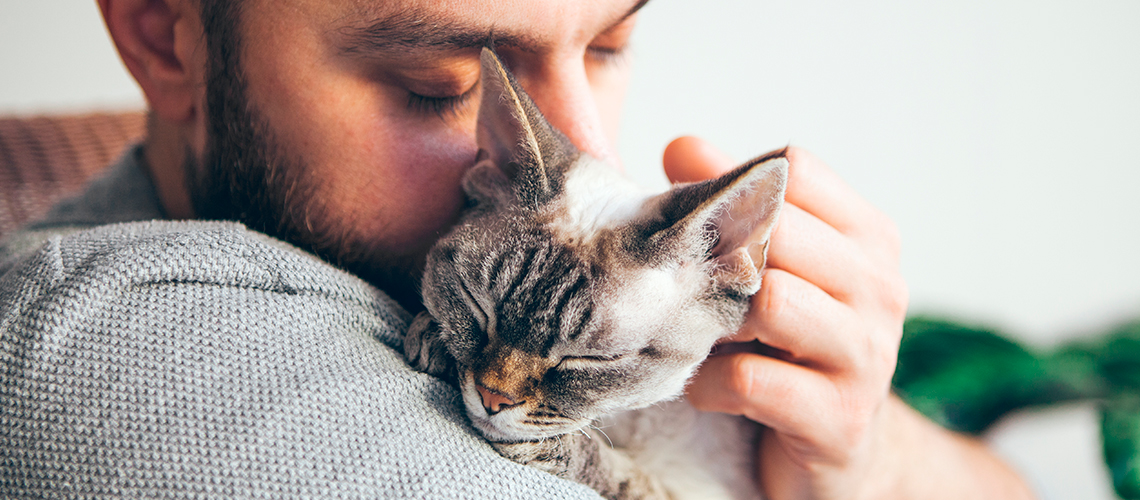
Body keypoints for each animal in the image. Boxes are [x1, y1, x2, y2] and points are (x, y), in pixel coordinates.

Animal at [405, 47, 788, 500]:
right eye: (477, 306)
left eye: (590, 359)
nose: (491, 397)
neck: (624, 419)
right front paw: (434, 337)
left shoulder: (696, 487)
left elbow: (615, 471)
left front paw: (556, 447)